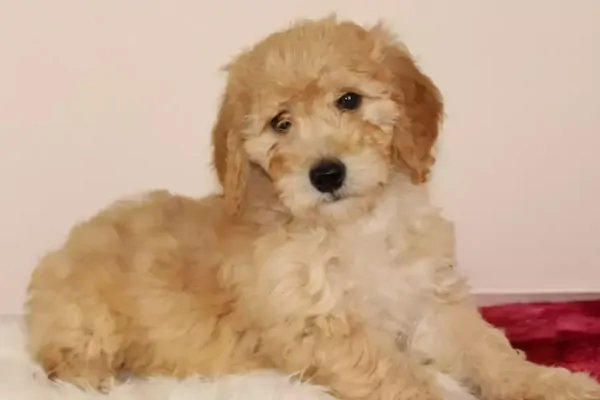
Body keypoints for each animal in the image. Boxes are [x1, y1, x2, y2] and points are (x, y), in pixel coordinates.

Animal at [25, 16, 596, 400]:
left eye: (350, 100)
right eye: (281, 124)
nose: (325, 174)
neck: (354, 227)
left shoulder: (432, 303)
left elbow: (489, 350)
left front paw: (553, 384)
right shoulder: (321, 328)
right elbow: (400, 377)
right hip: (81, 315)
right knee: (58, 356)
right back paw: (94, 376)